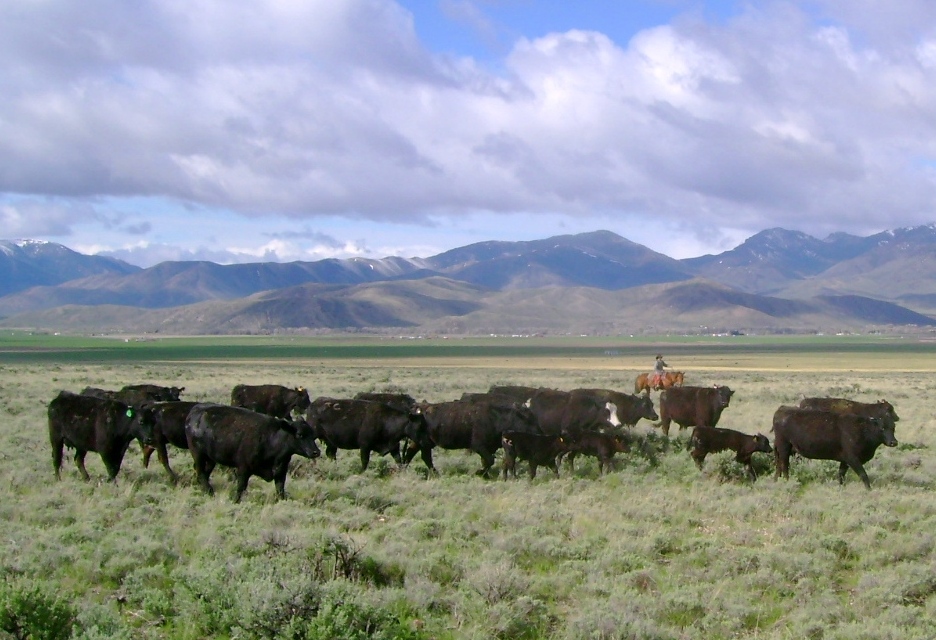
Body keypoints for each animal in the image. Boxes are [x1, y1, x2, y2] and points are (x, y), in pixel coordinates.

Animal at [183, 402, 322, 502]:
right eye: (299, 435)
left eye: (312, 434)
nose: (316, 452)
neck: (271, 438)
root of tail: (195, 411)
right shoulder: (243, 469)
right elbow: (241, 487)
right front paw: (235, 501)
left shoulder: (281, 473)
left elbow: (280, 490)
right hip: (198, 455)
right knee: (201, 473)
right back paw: (210, 492)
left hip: (211, 459)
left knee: (204, 473)